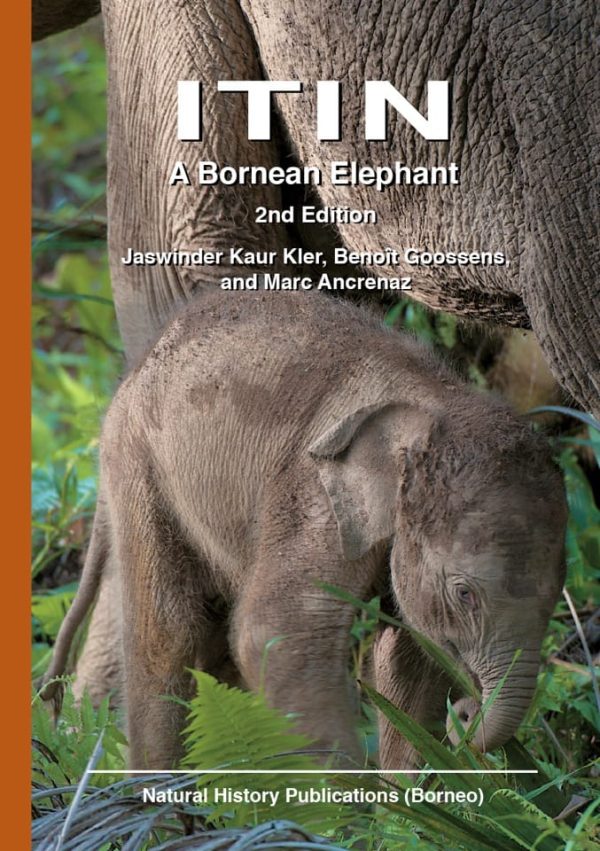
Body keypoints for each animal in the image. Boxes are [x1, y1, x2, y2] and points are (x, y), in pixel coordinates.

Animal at [42, 289, 567, 770]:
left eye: (553, 601)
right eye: (464, 594)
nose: (466, 713)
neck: (437, 404)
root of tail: (131, 373)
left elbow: (410, 656)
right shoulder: (312, 493)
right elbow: (275, 632)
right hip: (139, 465)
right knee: (169, 634)